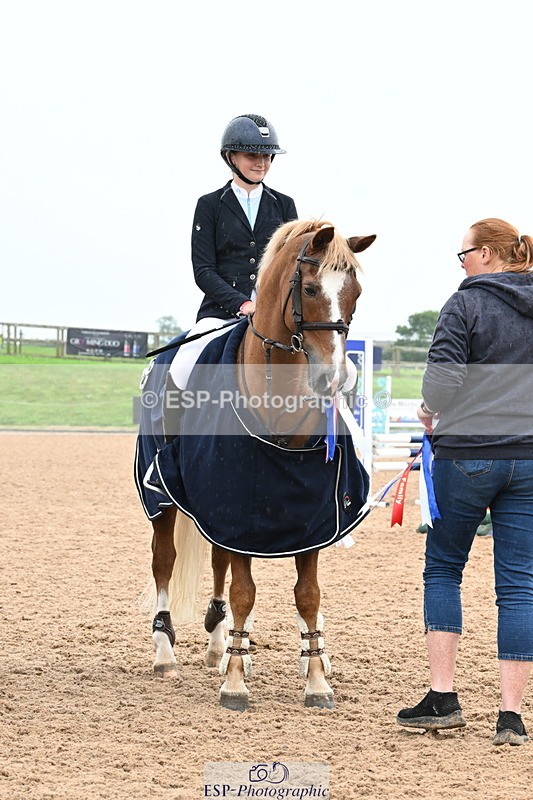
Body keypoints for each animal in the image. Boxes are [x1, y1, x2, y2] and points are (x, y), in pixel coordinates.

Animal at [135, 219, 376, 711]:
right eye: (309, 288)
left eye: (356, 293)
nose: (335, 379)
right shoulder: (236, 507)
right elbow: (244, 591)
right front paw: (234, 684)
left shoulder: (311, 515)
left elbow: (307, 595)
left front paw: (315, 679)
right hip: (161, 498)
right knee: (164, 561)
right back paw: (167, 652)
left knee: (219, 563)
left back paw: (222, 644)